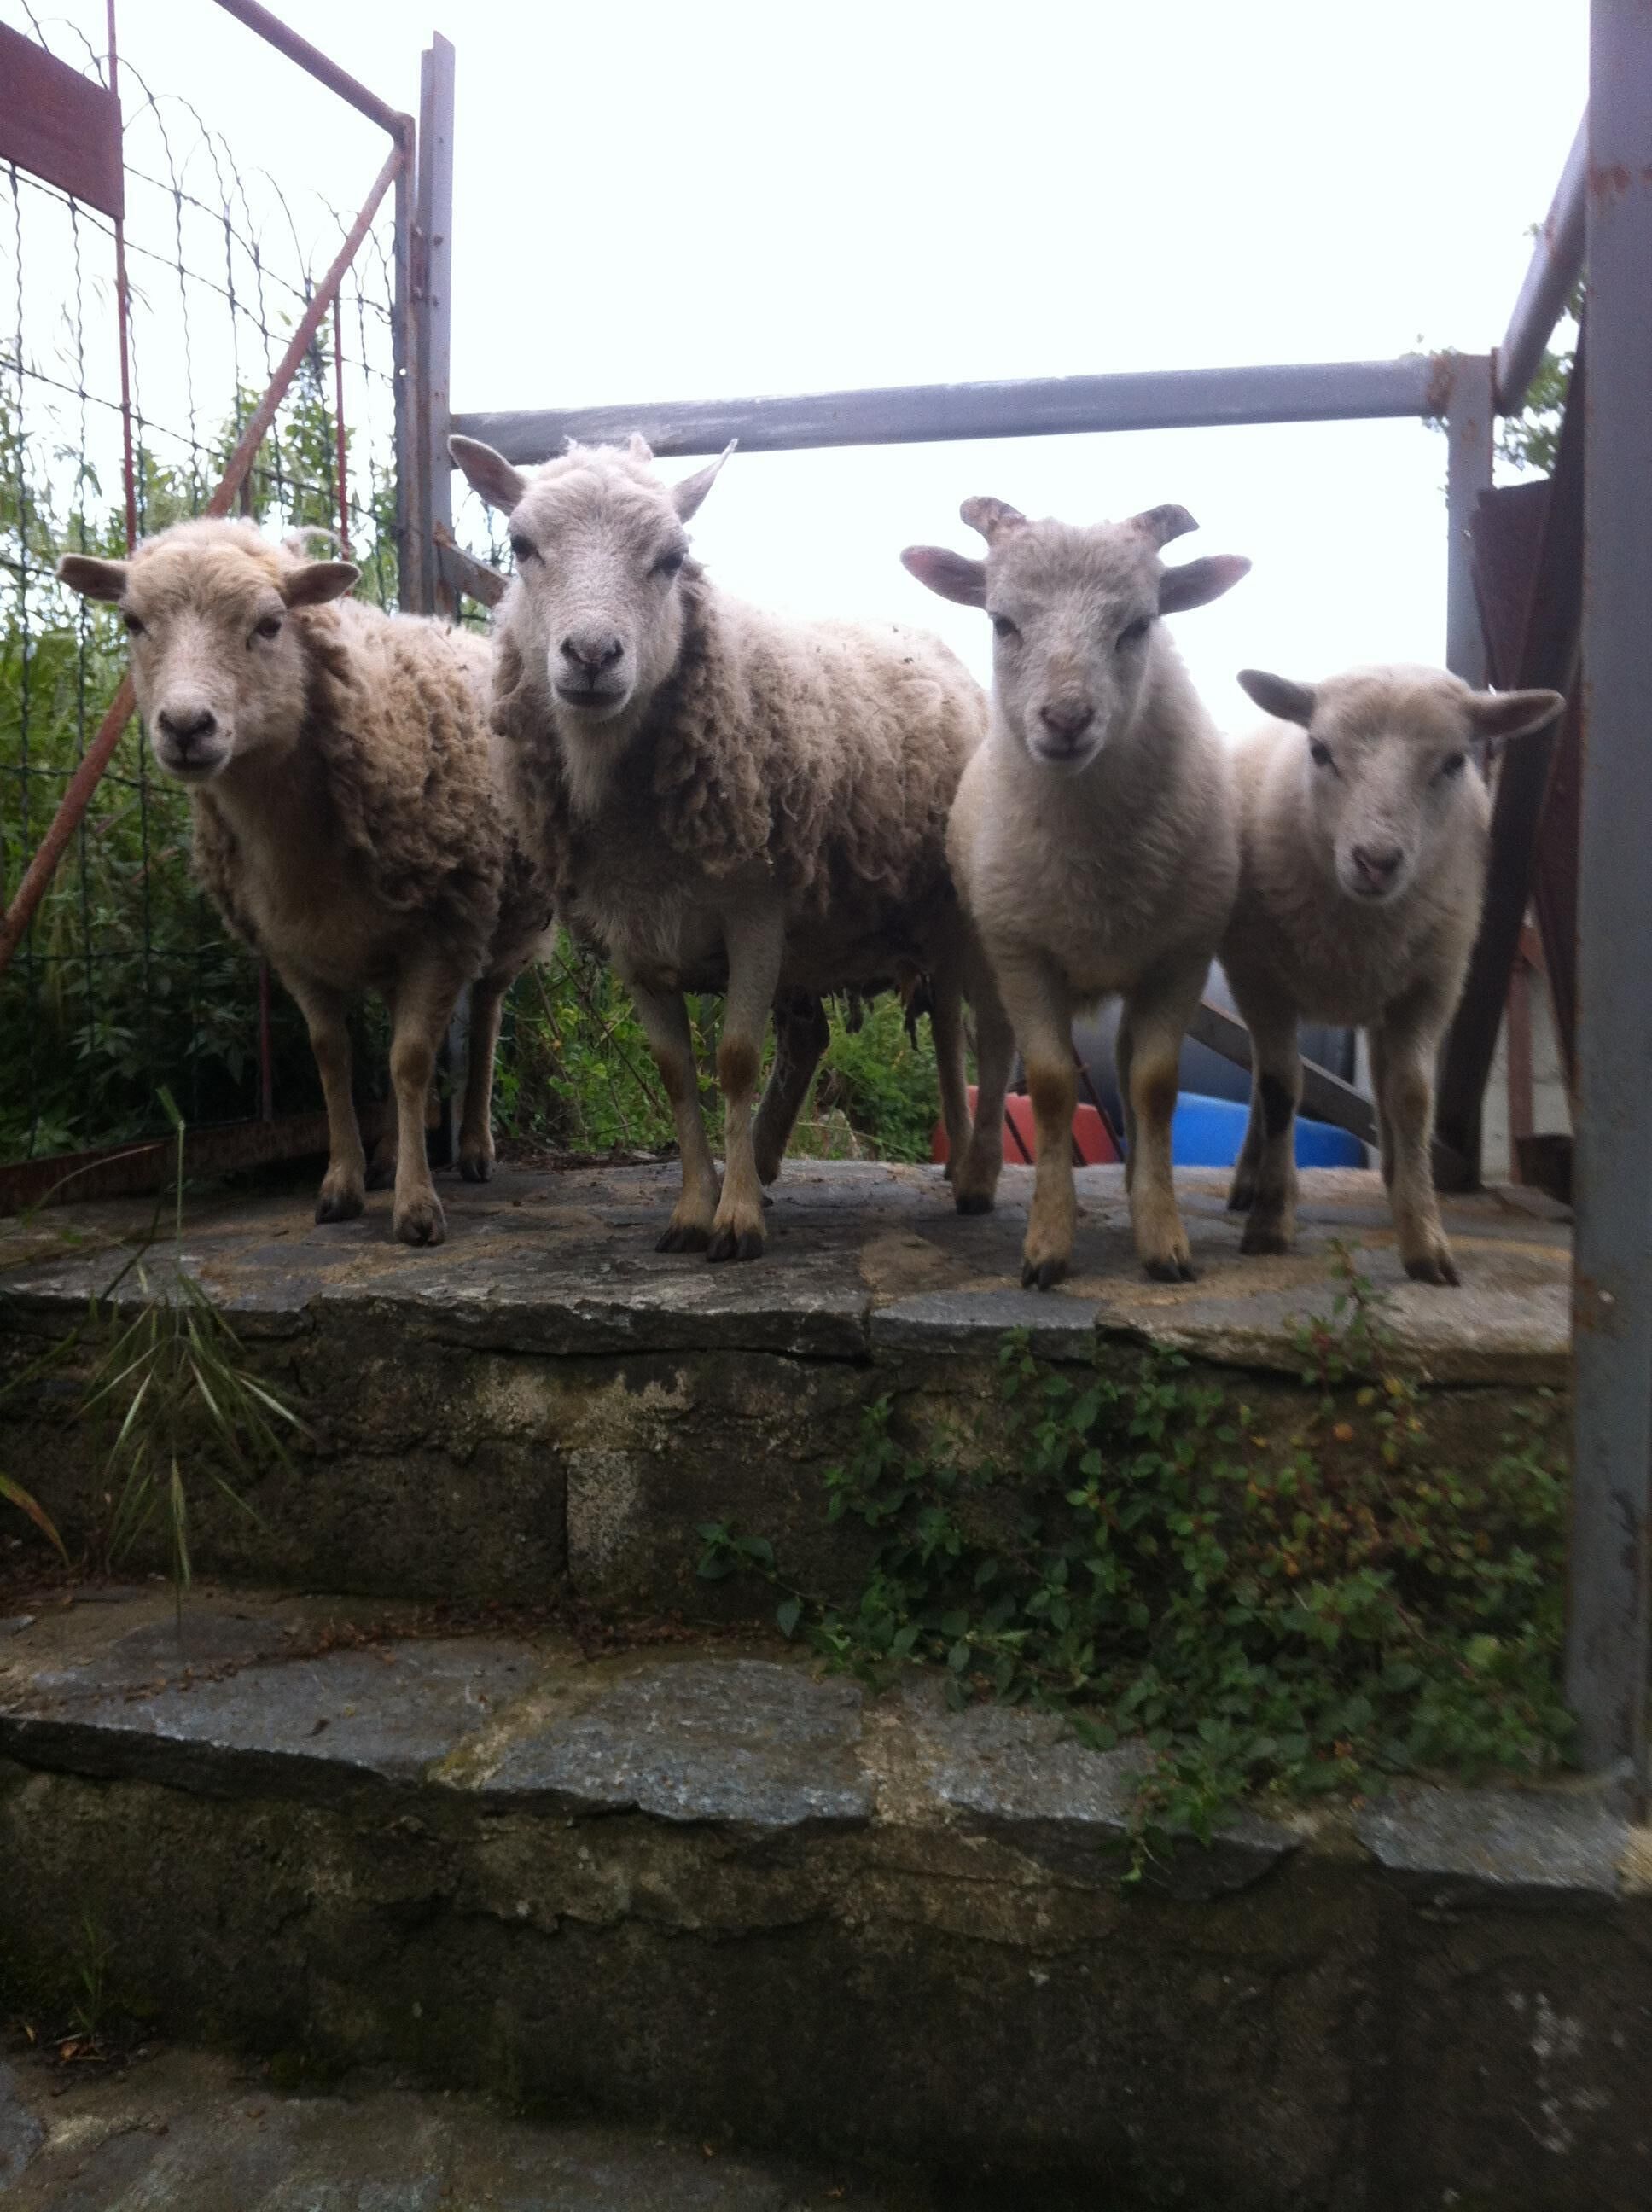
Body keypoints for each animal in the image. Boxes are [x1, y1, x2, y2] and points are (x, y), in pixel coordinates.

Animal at [58, 520, 552, 1247]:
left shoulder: (441, 931)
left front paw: (416, 1207)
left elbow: (411, 1060)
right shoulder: (293, 948)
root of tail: (450, 627)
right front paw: (342, 1184)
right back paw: (386, 1154)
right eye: (132, 622)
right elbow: (332, 1057)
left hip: (506, 923)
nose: (185, 726)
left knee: (487, 1015)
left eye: (270, 625)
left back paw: (472, 1147)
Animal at [447, 431, 1001, 1263]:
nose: (592, 655)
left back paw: (974, 1173)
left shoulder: (757, 912)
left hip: (954, 916)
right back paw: (777, 1157)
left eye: (673, 557)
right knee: (839, 1036)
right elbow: (677, 1071)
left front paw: (735, 1220)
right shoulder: (633, 936)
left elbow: (735, 1060)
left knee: (972, 1033)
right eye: (521, 546)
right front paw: (692, 1207)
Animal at [903, 498, 1250, 1288]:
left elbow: (1153, 1084)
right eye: (1002, 621)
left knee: (1120, 1061)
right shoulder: (1025, 954)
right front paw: (1047, 1246)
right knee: (991, 1053)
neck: (1096, 858)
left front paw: (1162, 1236)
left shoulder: (1182, 956)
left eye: (1140, 625)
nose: (1066, 720)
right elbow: (1053, 1084)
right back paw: (977, 1176)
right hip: (982, 952)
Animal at [1220, 663, 1564, 1284]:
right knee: (1267, 1078)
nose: (1376, 861)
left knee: (1378, 1085)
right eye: (1319, 750)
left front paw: (1425, 1239)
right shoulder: (1259, 980)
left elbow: (1411, 1100)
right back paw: (1251, 1181)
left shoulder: (1431, 989)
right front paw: (1271, 1220)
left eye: (1455, 761)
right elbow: (1282, 1091)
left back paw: (1392, 1179)